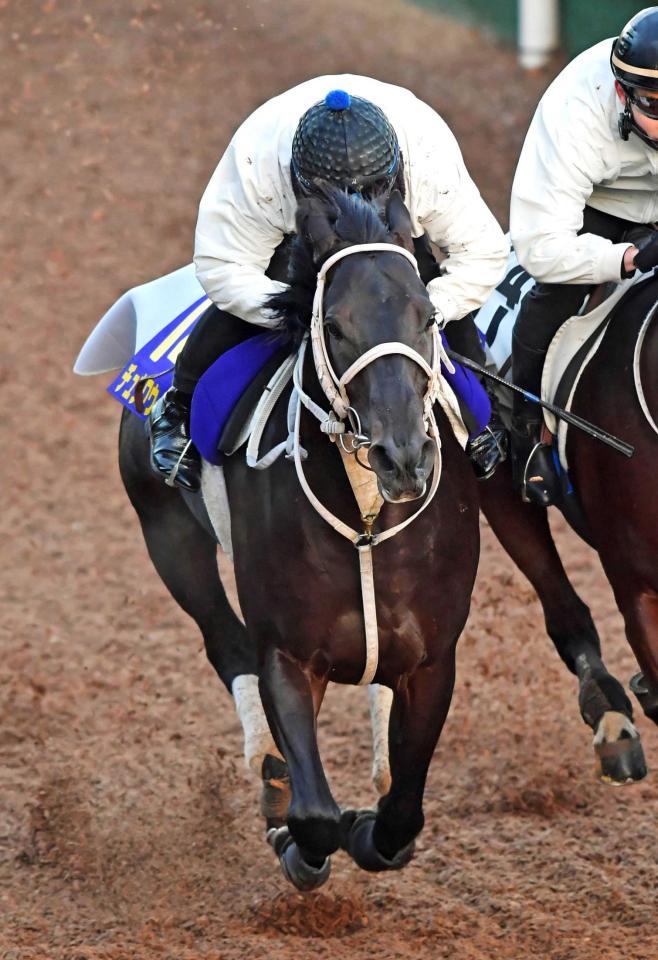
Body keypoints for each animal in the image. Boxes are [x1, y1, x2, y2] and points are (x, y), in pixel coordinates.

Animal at [119, 189, 476, 892]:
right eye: (334, 326)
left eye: (428, 317)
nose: (403, 457)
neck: (367, 523)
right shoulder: (287, 654)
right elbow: (315, 816)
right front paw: (296, 836)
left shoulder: (432, 661)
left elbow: (403, 818)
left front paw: (372, 824)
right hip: (166, 535)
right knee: (225, 644)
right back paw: (270, 773)